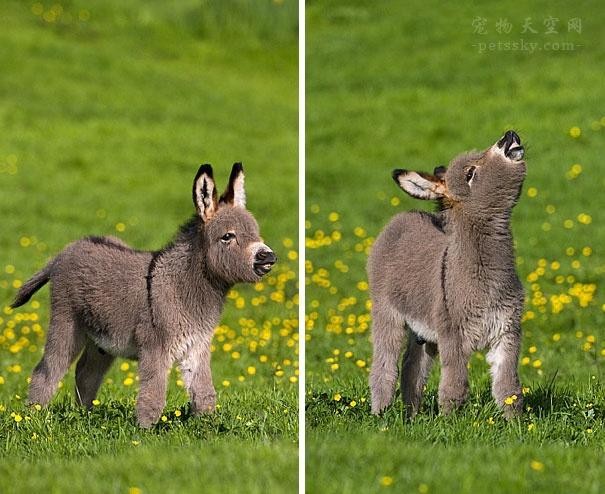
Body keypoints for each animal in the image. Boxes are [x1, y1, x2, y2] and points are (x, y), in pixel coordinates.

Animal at [11, 164, 276, 426]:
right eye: (227, 236)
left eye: (256, 233)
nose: (268, 257)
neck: (182, 286)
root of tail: (64, 251)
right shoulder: (155, 347)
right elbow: (152, 396)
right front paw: (145, 432)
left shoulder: (197, 346)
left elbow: (204, 394)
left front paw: (207, 426)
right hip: (66, 322)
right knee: (47, 370)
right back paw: (32, 417)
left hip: (102, 340)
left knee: (86, 373)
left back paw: (85, 415)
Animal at [366, 130, 528, 416]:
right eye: (470, 173)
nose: (509, 136)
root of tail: (402, 217)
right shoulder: (453, 336)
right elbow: (455, 386)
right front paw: (449, 420)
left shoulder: (507, 333)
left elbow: (508, 389)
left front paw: (517, 423)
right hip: (387, 312)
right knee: (385, 366)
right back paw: (380, 414)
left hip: (423, 332)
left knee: (412, 368)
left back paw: (410, 415)